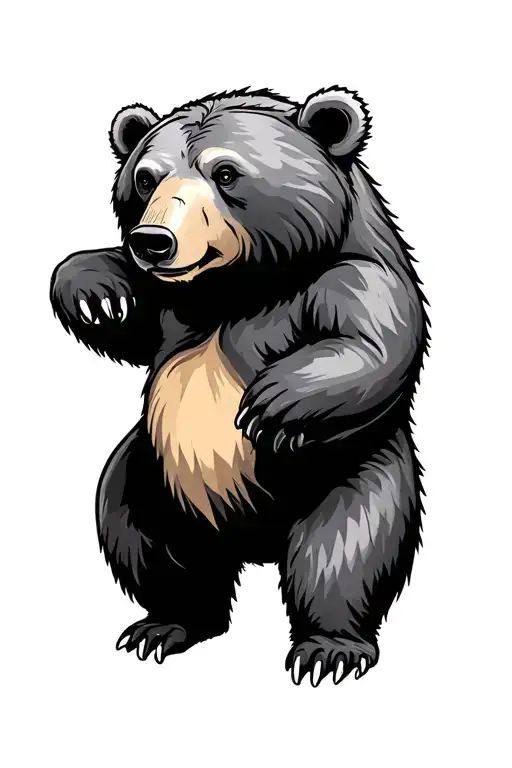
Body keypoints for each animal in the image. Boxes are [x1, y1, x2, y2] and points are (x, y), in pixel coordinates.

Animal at [50, 86, 428, 687]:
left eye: (225, 172)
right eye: (147, 178)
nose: (153, 240)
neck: (235, 290)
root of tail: (254, 545)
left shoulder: (345, 279)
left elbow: (371, 341)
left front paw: (273, 402)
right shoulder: (172, 307)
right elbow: (130, 323)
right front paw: (94, 291)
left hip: (354, 469)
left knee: (344, 548)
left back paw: (330, 646)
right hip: (151, 478)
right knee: (141, 537)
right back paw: (167, 624)